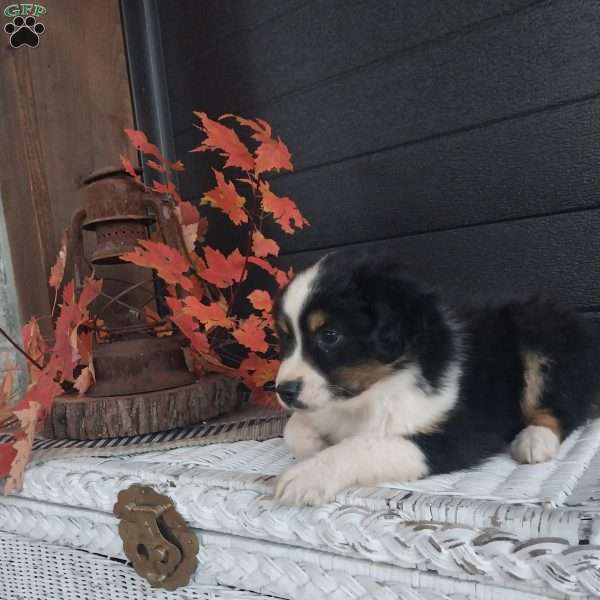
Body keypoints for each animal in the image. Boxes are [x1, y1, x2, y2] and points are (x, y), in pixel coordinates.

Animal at [272, 251, 600, 504]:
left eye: (329, 336)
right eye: (286, 338)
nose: (283, 391)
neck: (368, 395)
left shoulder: (455, 435)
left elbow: (365, 445)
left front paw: (309, 474)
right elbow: (293, 429)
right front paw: (315, 444)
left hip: (540, 335)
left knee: (563, 405)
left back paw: (534, 440)